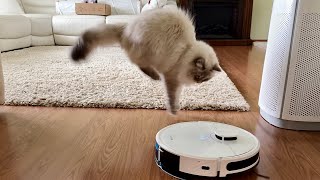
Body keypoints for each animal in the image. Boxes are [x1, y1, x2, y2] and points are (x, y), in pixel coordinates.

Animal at [70, 7, 220, 114]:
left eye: (205, 80)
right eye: (199, 76)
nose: (199, 83)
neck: (186, 51)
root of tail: (127, 27)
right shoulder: (172, 77)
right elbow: (172, 96)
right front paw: (174, 110)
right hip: (149, 52)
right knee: (139, 64)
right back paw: (155, 76)